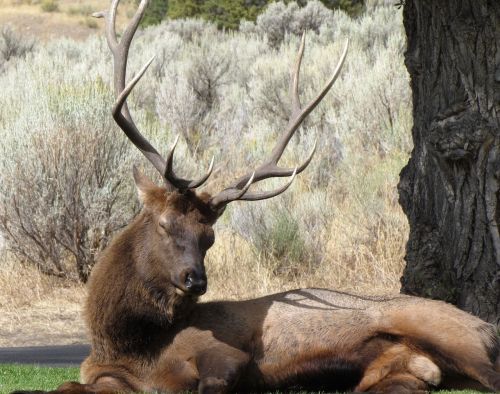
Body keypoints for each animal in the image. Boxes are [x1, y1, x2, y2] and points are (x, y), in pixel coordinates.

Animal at [14, 0, 500, 394]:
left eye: (209, 237)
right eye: (166, 224)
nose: (196, 280)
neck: (129, 344)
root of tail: (484, 325)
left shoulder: (226, 355)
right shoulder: (103, 375)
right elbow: (66, 385)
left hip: (456, 335)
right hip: (399, 370)